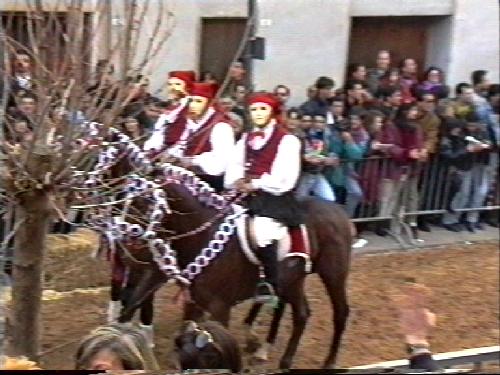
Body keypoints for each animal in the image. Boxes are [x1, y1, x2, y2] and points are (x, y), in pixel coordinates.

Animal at [116, 177, 352, 370]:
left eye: (144, 204)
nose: (125, 250)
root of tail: (340, 211)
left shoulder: (219, 308)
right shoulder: (192, 301)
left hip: (333, 275)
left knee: (340, 312)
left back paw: (329, 361)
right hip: (294, 281)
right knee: (301, 314)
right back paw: (283, 360)